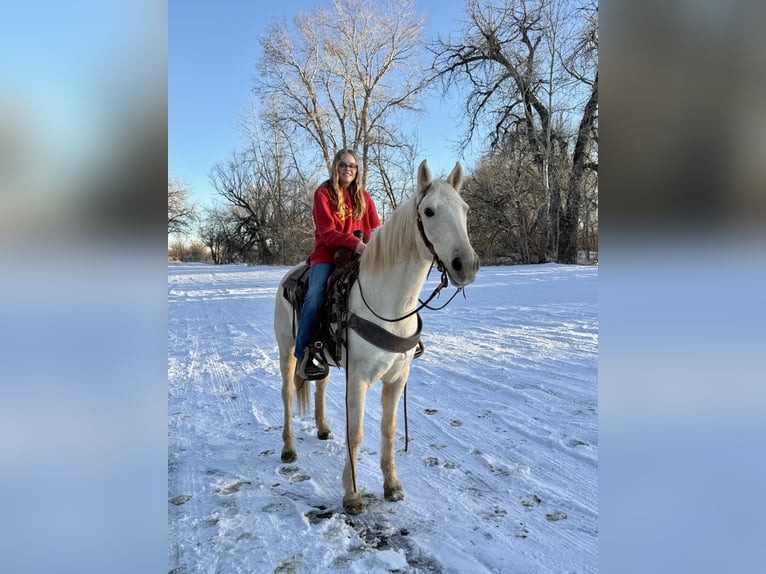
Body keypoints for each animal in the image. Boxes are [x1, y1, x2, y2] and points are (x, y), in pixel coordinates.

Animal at [276, 160, 480, 516]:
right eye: (428, 211)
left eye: (465, 210)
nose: (465, 266)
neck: (389, 304)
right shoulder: (357, 380)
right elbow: (356, 433)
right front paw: (352, 494)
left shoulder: (397, 379)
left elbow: (389, 430)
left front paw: (392, 485)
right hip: (286, 351)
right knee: (288, 395)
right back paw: (288, 449)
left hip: (322, 358)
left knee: (320, 385)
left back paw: (322, 428)